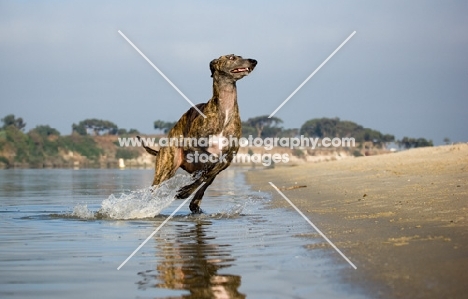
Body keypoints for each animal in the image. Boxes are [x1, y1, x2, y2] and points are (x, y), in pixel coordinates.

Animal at [139, 54, 258, 213]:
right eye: (232, 57)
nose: (254, 61)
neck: (224, 111)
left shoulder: (228, 157)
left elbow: (208, 173)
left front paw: (186, 192)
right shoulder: (192, 145)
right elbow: (211, 161)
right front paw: (186, 191)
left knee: (206, 180)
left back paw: (193, 202)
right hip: (165, 168)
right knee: (154, 190)